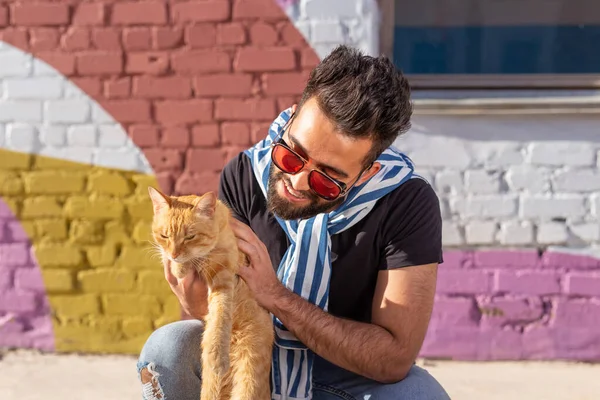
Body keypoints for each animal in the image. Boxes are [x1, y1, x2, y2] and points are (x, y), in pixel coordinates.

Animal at [148, 188, 274, 400]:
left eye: (190, 237)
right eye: (165, 236)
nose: (174, 254)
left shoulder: (224, 276)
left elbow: (220, 315)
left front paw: (217, 355)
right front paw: (179, 266)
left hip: (249, 380)